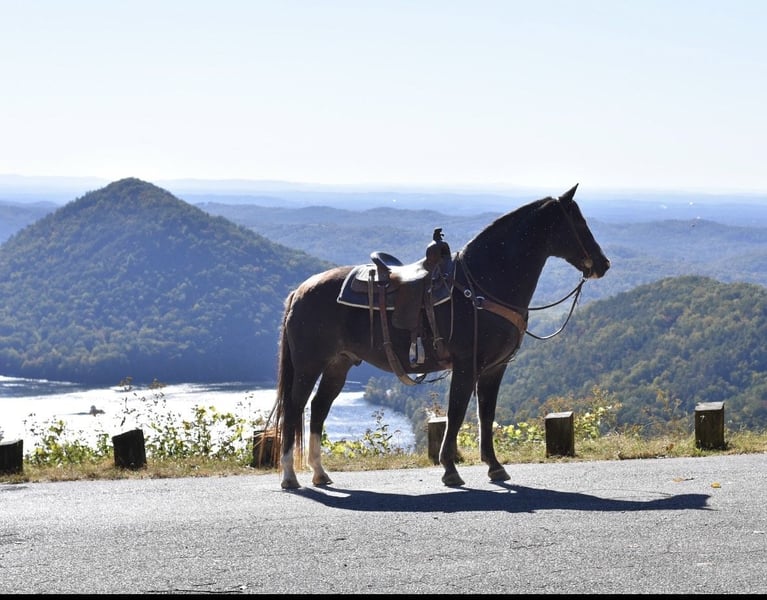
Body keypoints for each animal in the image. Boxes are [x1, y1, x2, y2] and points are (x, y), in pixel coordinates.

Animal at [272, 184, 610, 488]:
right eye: (578, 222)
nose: (603, 264)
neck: (481, 285)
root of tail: (299, 291)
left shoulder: (493, 369)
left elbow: (485, 415)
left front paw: (495, 467)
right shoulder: (465, 365)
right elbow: (457, 413)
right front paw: (450, 469)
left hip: (337, 365)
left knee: (318, 409)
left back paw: (319, 472)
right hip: (309, 365)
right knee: (294, 409)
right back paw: (289, 476)